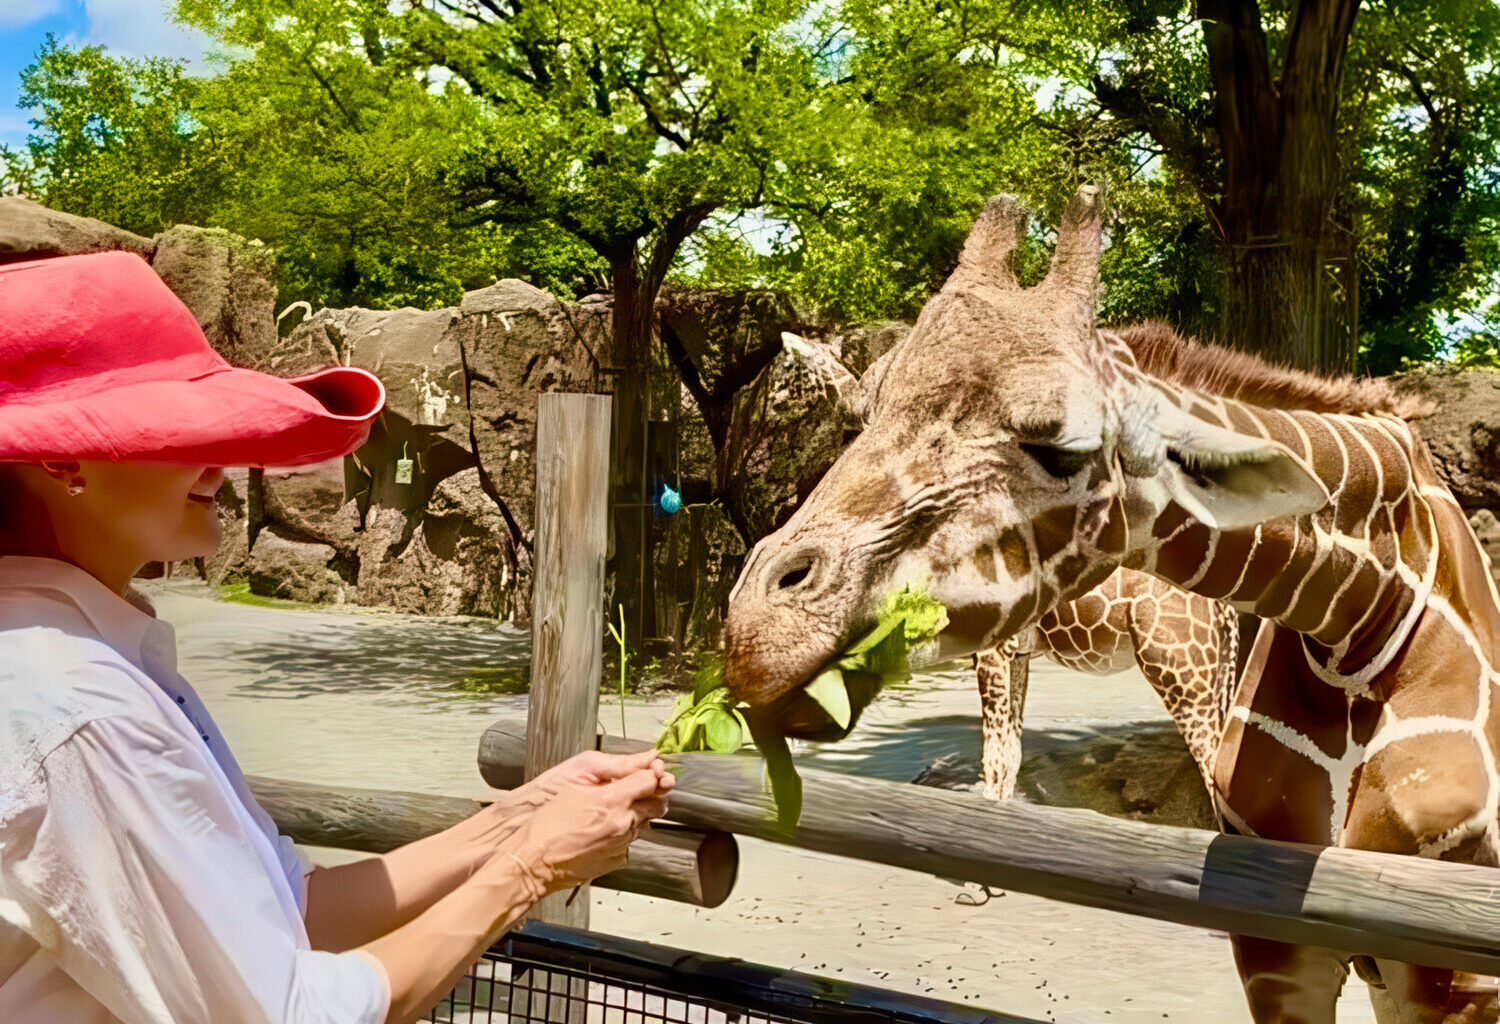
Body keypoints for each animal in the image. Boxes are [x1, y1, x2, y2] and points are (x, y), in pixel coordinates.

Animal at [975, 568, 1240, 800]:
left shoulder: (994, 645)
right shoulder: (1019, 650)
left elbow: (995, 756)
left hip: (1179, 673)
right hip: (1217, 677)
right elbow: (1010, 754)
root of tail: (1224, 606)